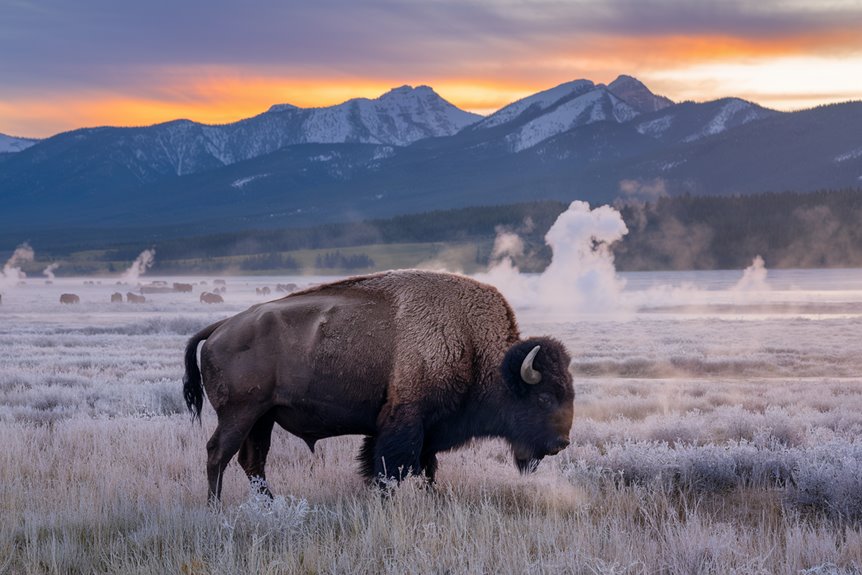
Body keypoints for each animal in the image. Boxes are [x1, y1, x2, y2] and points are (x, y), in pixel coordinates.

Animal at [183, 270, 573, 502]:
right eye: (543, 397)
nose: (561, 443)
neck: (471, 345)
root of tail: (220, 328)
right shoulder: (406, 422)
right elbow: (392, 468)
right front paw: (386, 500)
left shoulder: (425, 430)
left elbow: (425, 467)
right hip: (239, 413)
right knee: (218, 454)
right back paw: (217, 508)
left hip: (262, 417)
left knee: (253, 461)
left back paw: (269, 504)